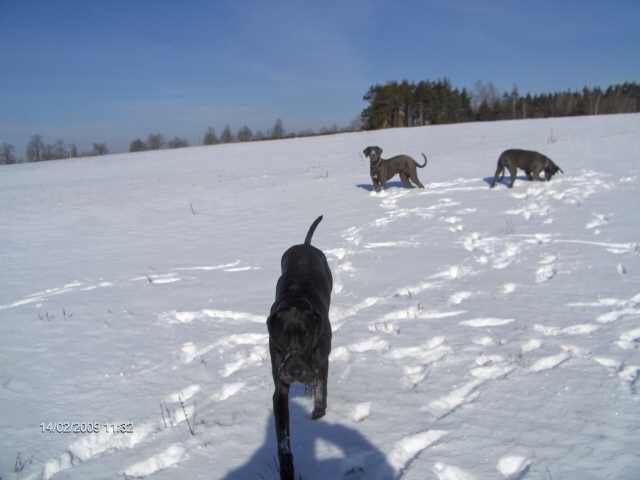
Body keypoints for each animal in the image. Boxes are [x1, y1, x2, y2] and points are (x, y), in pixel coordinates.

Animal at [266, 216, 332, 480]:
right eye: (281, 340)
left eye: (305, 337)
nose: (294, 371)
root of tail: (306, 245)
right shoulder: (280, 390)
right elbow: (283, 439)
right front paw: (287, 470)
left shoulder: (322, 361)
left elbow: (321, 389)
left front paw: (318, 412)